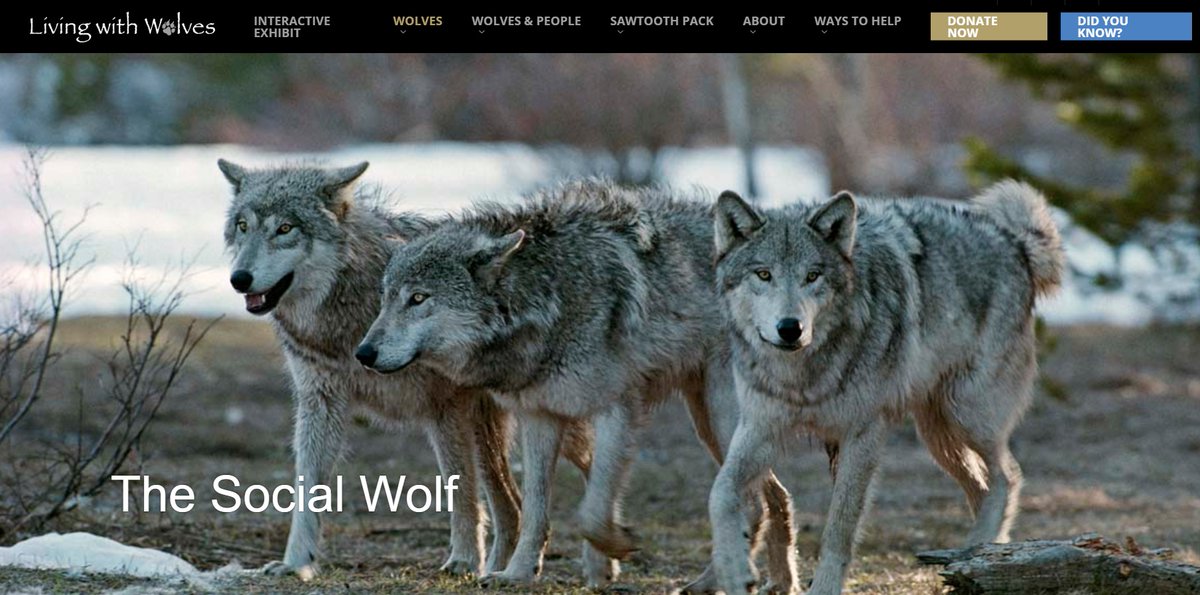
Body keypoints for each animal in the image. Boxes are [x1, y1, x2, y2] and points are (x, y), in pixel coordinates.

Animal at [219, 160, 533, 579]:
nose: (239, 279)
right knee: (512, 508)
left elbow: (461, 490)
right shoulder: (320, 400)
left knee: (512, 505)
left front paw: (463, 560)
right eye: (243, 226)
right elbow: (307, 489)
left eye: (285, 228)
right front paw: (295, 563)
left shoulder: (447, 407)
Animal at [355, 180, 797, 591]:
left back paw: (726, 580)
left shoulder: (618, 411)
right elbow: (535, 510)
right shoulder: (540, 415)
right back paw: (764, 581)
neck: (548, 299)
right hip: (707, 422)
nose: (363, 352)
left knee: (753, 503)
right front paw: (517, 574)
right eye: (385, 298)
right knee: (773, 498)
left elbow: (592, 510)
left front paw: (617, 544)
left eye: (418, 298)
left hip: (722, 415)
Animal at [708, 180, 1064, 594]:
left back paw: (979, 552)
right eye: (763, 274)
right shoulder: (760, 430)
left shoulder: (862, 435)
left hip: (967, 417)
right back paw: (982, 557)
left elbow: (840, 526)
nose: (790, 328)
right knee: (985, 486)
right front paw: (733, 569)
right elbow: (720, 492)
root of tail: (1016, 243)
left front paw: (824, 587)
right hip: (938, 436)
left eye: (813, 276)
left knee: (1008, 476)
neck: (804, 375)